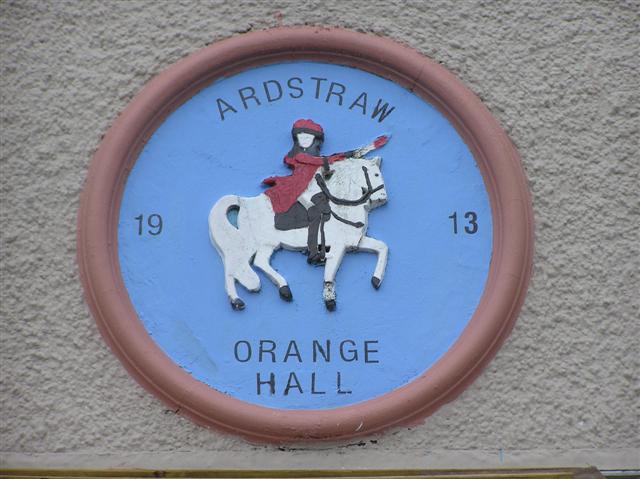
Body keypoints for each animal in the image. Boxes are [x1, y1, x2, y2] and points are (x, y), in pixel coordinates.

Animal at [211, 158, 390, 312]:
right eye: (376, 174)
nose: (382, 198)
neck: (342, 204)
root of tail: (244, 202)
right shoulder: (339, 246)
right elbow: (330, 271)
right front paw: (329, 298)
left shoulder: (355, 241)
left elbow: (382, 247)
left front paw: (376, 280)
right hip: (249, 244)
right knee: (234, 267)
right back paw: (237, 300)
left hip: (266, 245)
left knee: (258, 262)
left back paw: (282, 289)